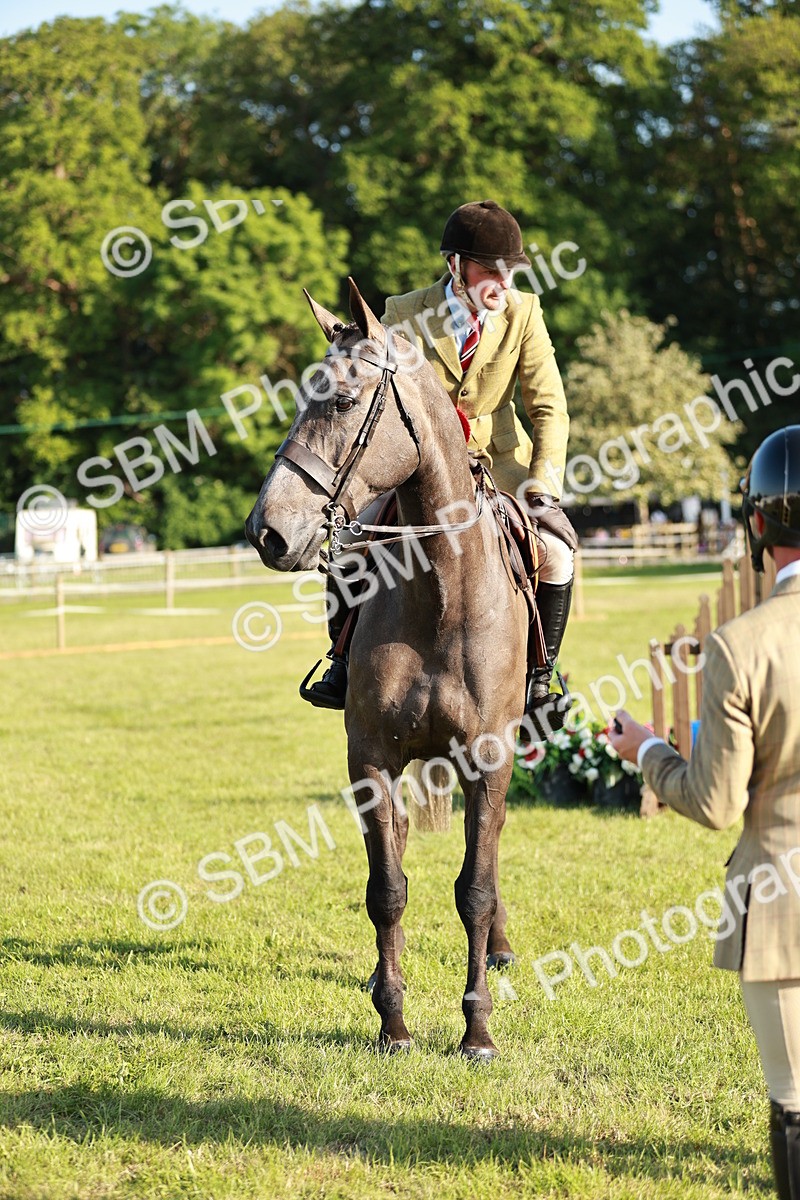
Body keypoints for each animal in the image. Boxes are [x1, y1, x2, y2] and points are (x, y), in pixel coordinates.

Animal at [245, 279, 530, 1059]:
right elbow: (388, 889)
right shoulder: (370, 759)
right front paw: (394, 1022)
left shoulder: (489, 760)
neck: (442, 594)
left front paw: (477, 1030)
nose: (266, 532)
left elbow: (475, 888)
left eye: (343, 401)